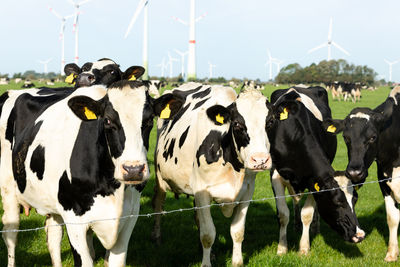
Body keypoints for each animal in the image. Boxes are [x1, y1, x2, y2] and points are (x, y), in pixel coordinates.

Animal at [0, 81, 184, 267]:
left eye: (149, 120)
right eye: (107, 120)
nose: (133, 170)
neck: (113, 189)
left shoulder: (129, 216)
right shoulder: (74, 219)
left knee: (53, 237)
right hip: (8, 190)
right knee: (11, 234)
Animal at [152, 84, 274, 267]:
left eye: (270, 122)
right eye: (237, 124)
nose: (260, 160)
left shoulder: (247, 192)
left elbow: (237, 231)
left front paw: (236, 262)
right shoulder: (202, 192)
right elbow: (208, 234)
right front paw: (206, 263)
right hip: (160, 176)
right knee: (159, 205)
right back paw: (157, 238)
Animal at [266, 87, 366, 256]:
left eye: (355, 200)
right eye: (337, 201)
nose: (359, 235)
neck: (293, 134)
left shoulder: (313, 181)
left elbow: (307, 214)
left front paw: (304, 248)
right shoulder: (275, 175)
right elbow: (283, 214)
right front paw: (282, 248)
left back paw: (314, 227)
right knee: (295, 201)